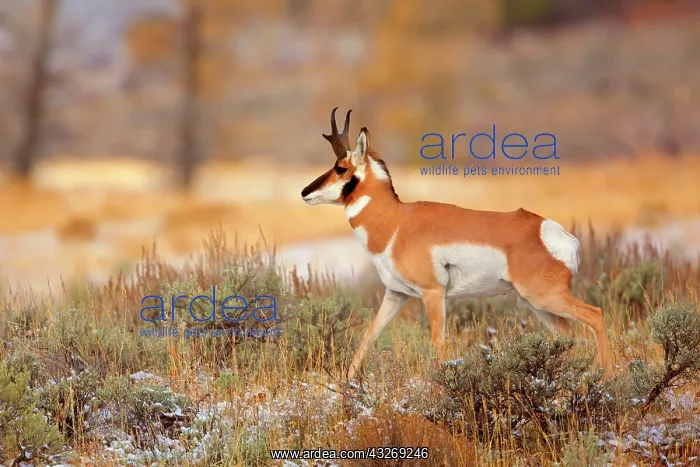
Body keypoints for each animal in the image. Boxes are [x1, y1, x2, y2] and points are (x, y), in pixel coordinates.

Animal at [301, 108, 611, 380]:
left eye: (341, 168)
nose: (305, 192)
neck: (397, 223)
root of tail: (552, 232)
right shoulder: (395, 294)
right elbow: (369, 335)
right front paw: (345, 383)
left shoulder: (433, 293)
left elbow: (438, 342)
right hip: (535, 303)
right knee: (566, 334)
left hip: (545, 297)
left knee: (595, 315)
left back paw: (607, 377)